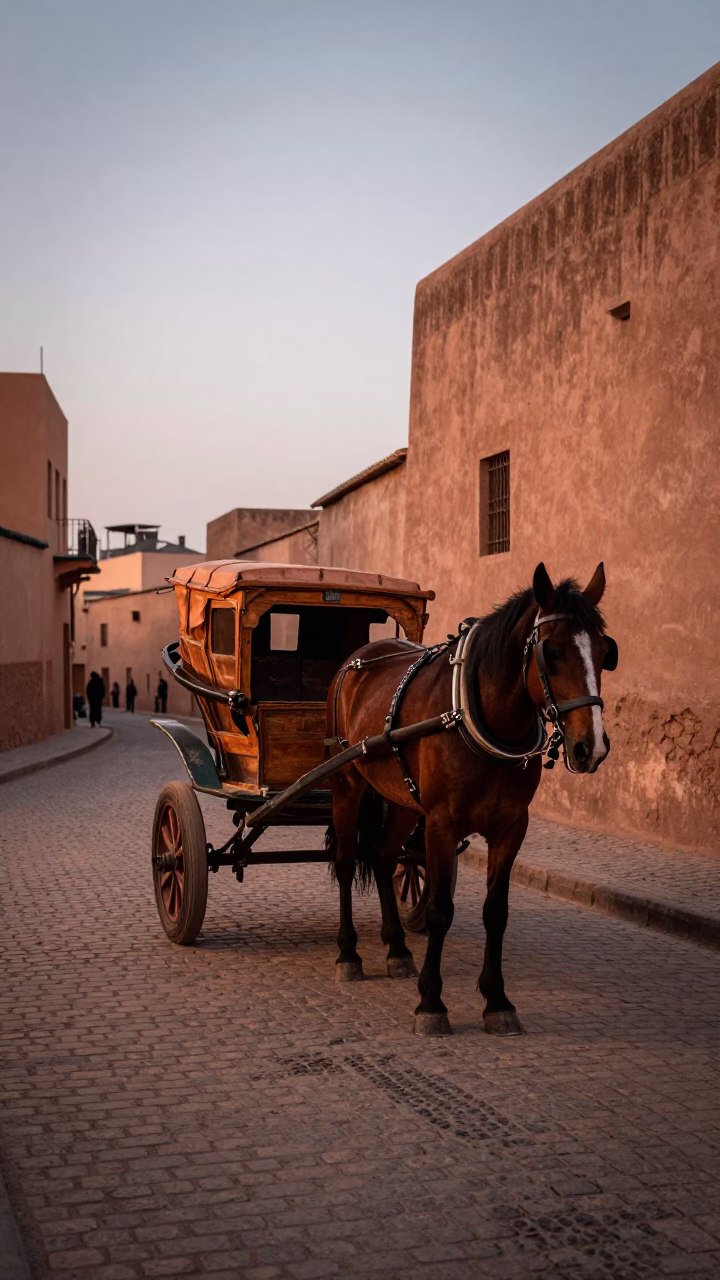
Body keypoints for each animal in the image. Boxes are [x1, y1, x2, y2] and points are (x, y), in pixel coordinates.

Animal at [325, 562, 618, 1037]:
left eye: (604, 652)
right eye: (551, 652)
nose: (590, 747)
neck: (478, 717)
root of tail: (357, 660)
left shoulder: (512, 827)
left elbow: (495, 911)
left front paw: (497, 1000)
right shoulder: (441, 824)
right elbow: (440, 911)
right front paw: (431, 1003)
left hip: (402, 800)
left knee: (384, 857)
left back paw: (396, 948)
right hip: (346, 783)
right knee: (348, 862)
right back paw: (348, 953)